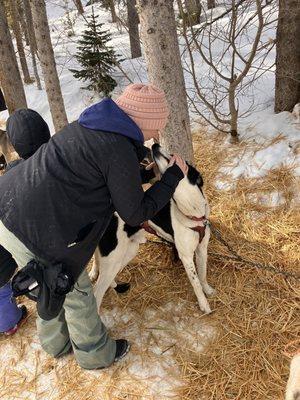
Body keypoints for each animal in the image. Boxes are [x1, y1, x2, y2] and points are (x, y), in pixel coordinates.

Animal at [90, 145, 214, 316]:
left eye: (172, 154)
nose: (154, 145)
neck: (191, 211)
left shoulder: (202, 249)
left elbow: (202, 274)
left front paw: (207, 290)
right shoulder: (186, 257)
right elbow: (196, 283)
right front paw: (204, 304)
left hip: (126, 252)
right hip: (113, 260)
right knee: (96, 294)